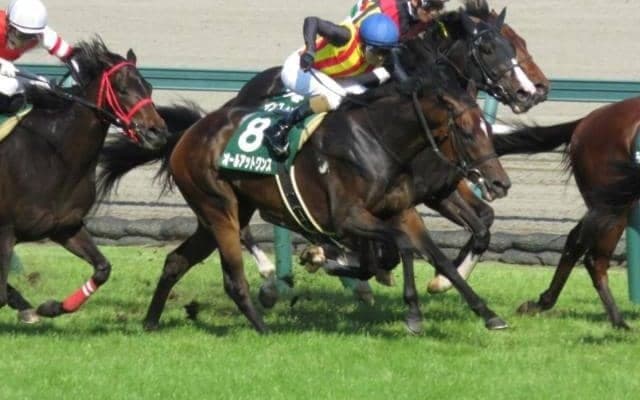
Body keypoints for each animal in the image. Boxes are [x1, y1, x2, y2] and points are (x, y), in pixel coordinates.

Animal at [0, 37, 167, 323]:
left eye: (149, 87)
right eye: (122, 89)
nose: (158, 132)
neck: (54, 157)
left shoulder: (65, 226)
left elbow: (103, 269)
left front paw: (50, 307)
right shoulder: (4, 231)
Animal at [98, 42, 511, 334]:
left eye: (485, 128)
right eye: (466, 131)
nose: (500, 181)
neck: (377, 139)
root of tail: (188, 135)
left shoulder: (402, 209)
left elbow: (435, 256)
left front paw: (487, 313)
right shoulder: (349, 217)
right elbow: (400, 249)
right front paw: (410, 311)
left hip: (219, 214)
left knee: (175, 261)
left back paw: (151, 321)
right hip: (219, 208)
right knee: (232, 273)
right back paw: (264, 321)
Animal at [490, 98, 640, 329]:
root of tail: (587, 120)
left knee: (574, 241)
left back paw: (540, 303)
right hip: (613, 204)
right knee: (593, 259)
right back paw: (619, 322)